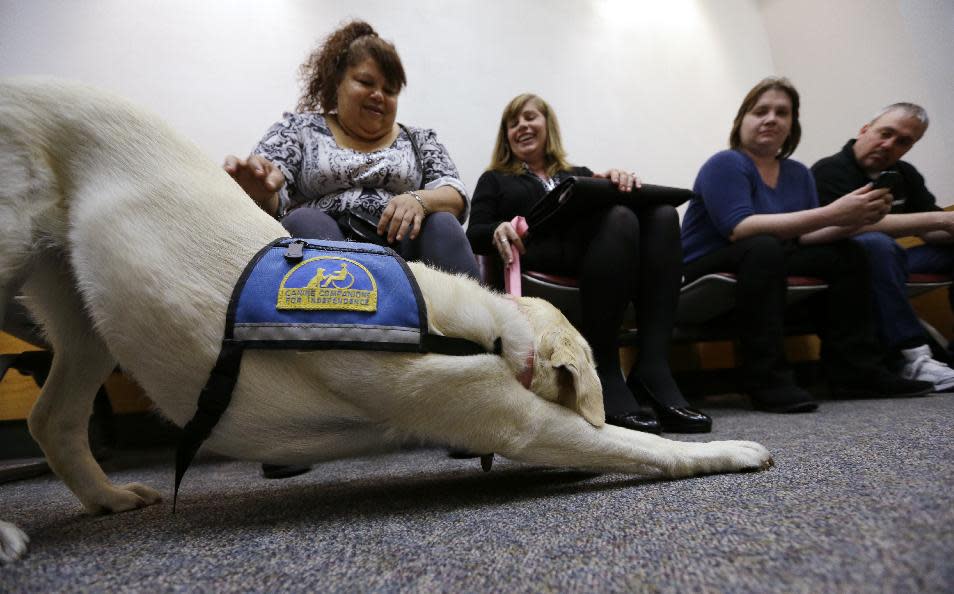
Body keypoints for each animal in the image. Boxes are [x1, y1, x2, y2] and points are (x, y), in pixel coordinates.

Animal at [0, 80, 768, 560]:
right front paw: (730, 450)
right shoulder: (514, 419)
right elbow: (640, 446)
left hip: (90, 313)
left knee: (51, 420)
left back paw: (106, 497)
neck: (477, 330)